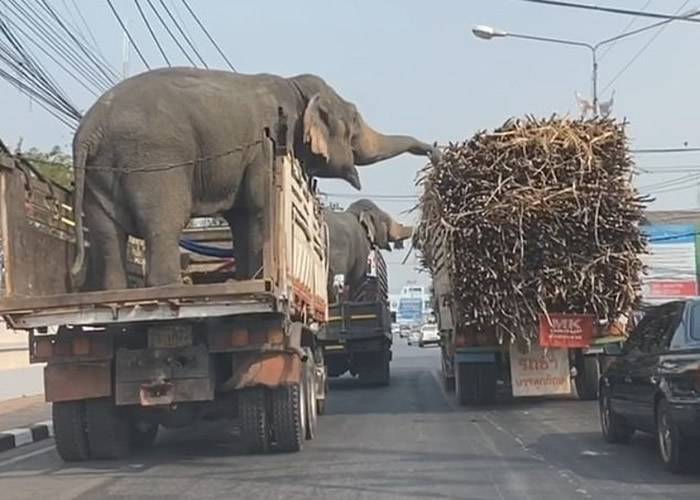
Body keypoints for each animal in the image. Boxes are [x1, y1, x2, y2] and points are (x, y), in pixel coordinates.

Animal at [71, 68, 440, 292]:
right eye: (353, 124)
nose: (434, 152)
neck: (296, 87)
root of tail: (90, 129)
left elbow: (242, 217)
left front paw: (248, 281)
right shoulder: (270, 143)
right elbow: (259, 211)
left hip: (101, 173)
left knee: (107, 234)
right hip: (154, 161)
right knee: (163, 225)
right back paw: (168, 290)